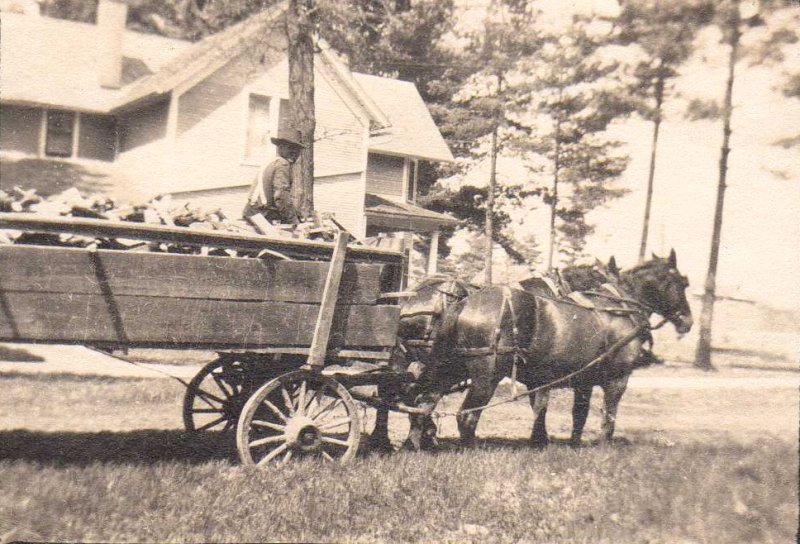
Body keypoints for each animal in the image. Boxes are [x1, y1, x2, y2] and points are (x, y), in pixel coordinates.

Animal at [403, 250, 692, 449]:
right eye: (682, 283)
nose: (687, 321)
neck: (618, 308)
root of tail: (463, 302)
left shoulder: (574, 380)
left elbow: (573, 413)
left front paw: (561, 443)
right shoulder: (616, 379)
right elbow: (607, 415)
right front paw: (602, 446)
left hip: (449, 366)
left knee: (423, 401)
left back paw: (415, 443)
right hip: (487, 375)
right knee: (465, 416)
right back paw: (467, 449)